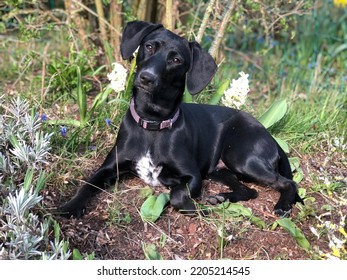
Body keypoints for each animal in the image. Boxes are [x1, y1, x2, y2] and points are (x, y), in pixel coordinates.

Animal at [58, 21, 304, 219]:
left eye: (176, 59)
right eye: (149, 46)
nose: (146, 78)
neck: (152, 124)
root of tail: (269, 135)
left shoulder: (192, 176)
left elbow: (176, 195)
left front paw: (192, 207)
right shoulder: (110, 167)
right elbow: (86, 185)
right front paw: (70, 206)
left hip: (242, 157)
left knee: (287, 183)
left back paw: (282, 206)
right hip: (220, 170)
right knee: (249, 190)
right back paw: (221, 198)